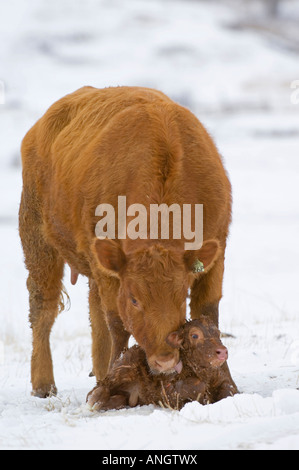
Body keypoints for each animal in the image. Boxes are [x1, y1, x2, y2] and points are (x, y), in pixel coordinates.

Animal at [19, 85, 237, 396]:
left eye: (182, 294)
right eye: (134, 299)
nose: (164, 360)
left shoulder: (216, 250)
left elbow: (209, 312)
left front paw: (228, 384)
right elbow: (117, 323)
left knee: (93, 311)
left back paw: (99, 371)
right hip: (37, 240)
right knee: (43, 308)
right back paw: (44, 384)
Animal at [86, 320, 239, 412]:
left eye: (218, 333)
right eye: (195, 335)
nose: (222, 351)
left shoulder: (224, 379)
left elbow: (230, 390)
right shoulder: (168, 390)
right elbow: (195, 386)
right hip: (124, 366)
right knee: (99, 387)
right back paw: (95, 401)